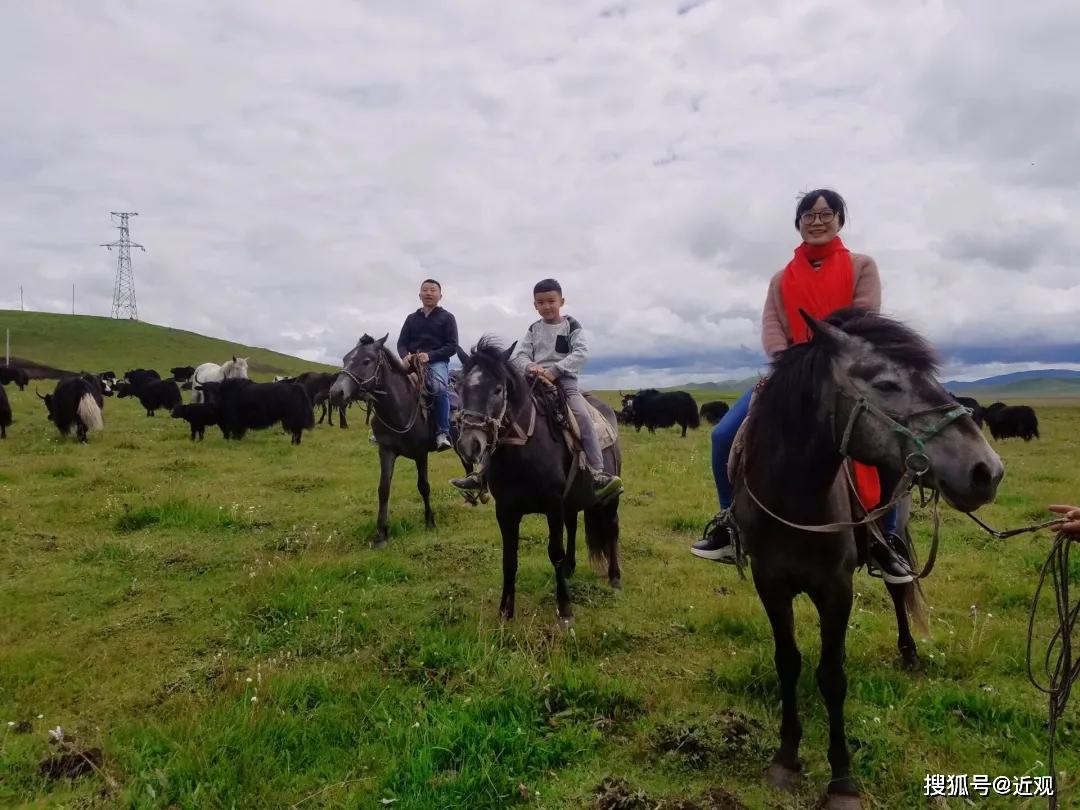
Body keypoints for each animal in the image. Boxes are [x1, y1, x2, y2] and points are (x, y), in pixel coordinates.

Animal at [455, 336, 626, 626]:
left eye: (498, 390)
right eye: (460, 387)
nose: (470, 444)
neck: (523, 448)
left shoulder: (552, 505)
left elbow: (554, 553)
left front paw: (565, 611)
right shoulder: (506, 511)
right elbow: (509, 560)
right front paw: (505, 612)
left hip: (609, 499)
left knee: (612, 528)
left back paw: (614, 577)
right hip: (571, 501)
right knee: (573, 526)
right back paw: (570, 569)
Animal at [734, 308, 1002, 807]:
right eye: (887, 383)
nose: (987, 470)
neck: (794, 499)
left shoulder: (836, 590)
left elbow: (832, 677)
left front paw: (842, 780)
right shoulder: (770, 585)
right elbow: (789, 662)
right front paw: (786, 758)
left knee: (898, 589)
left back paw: (909, 655)